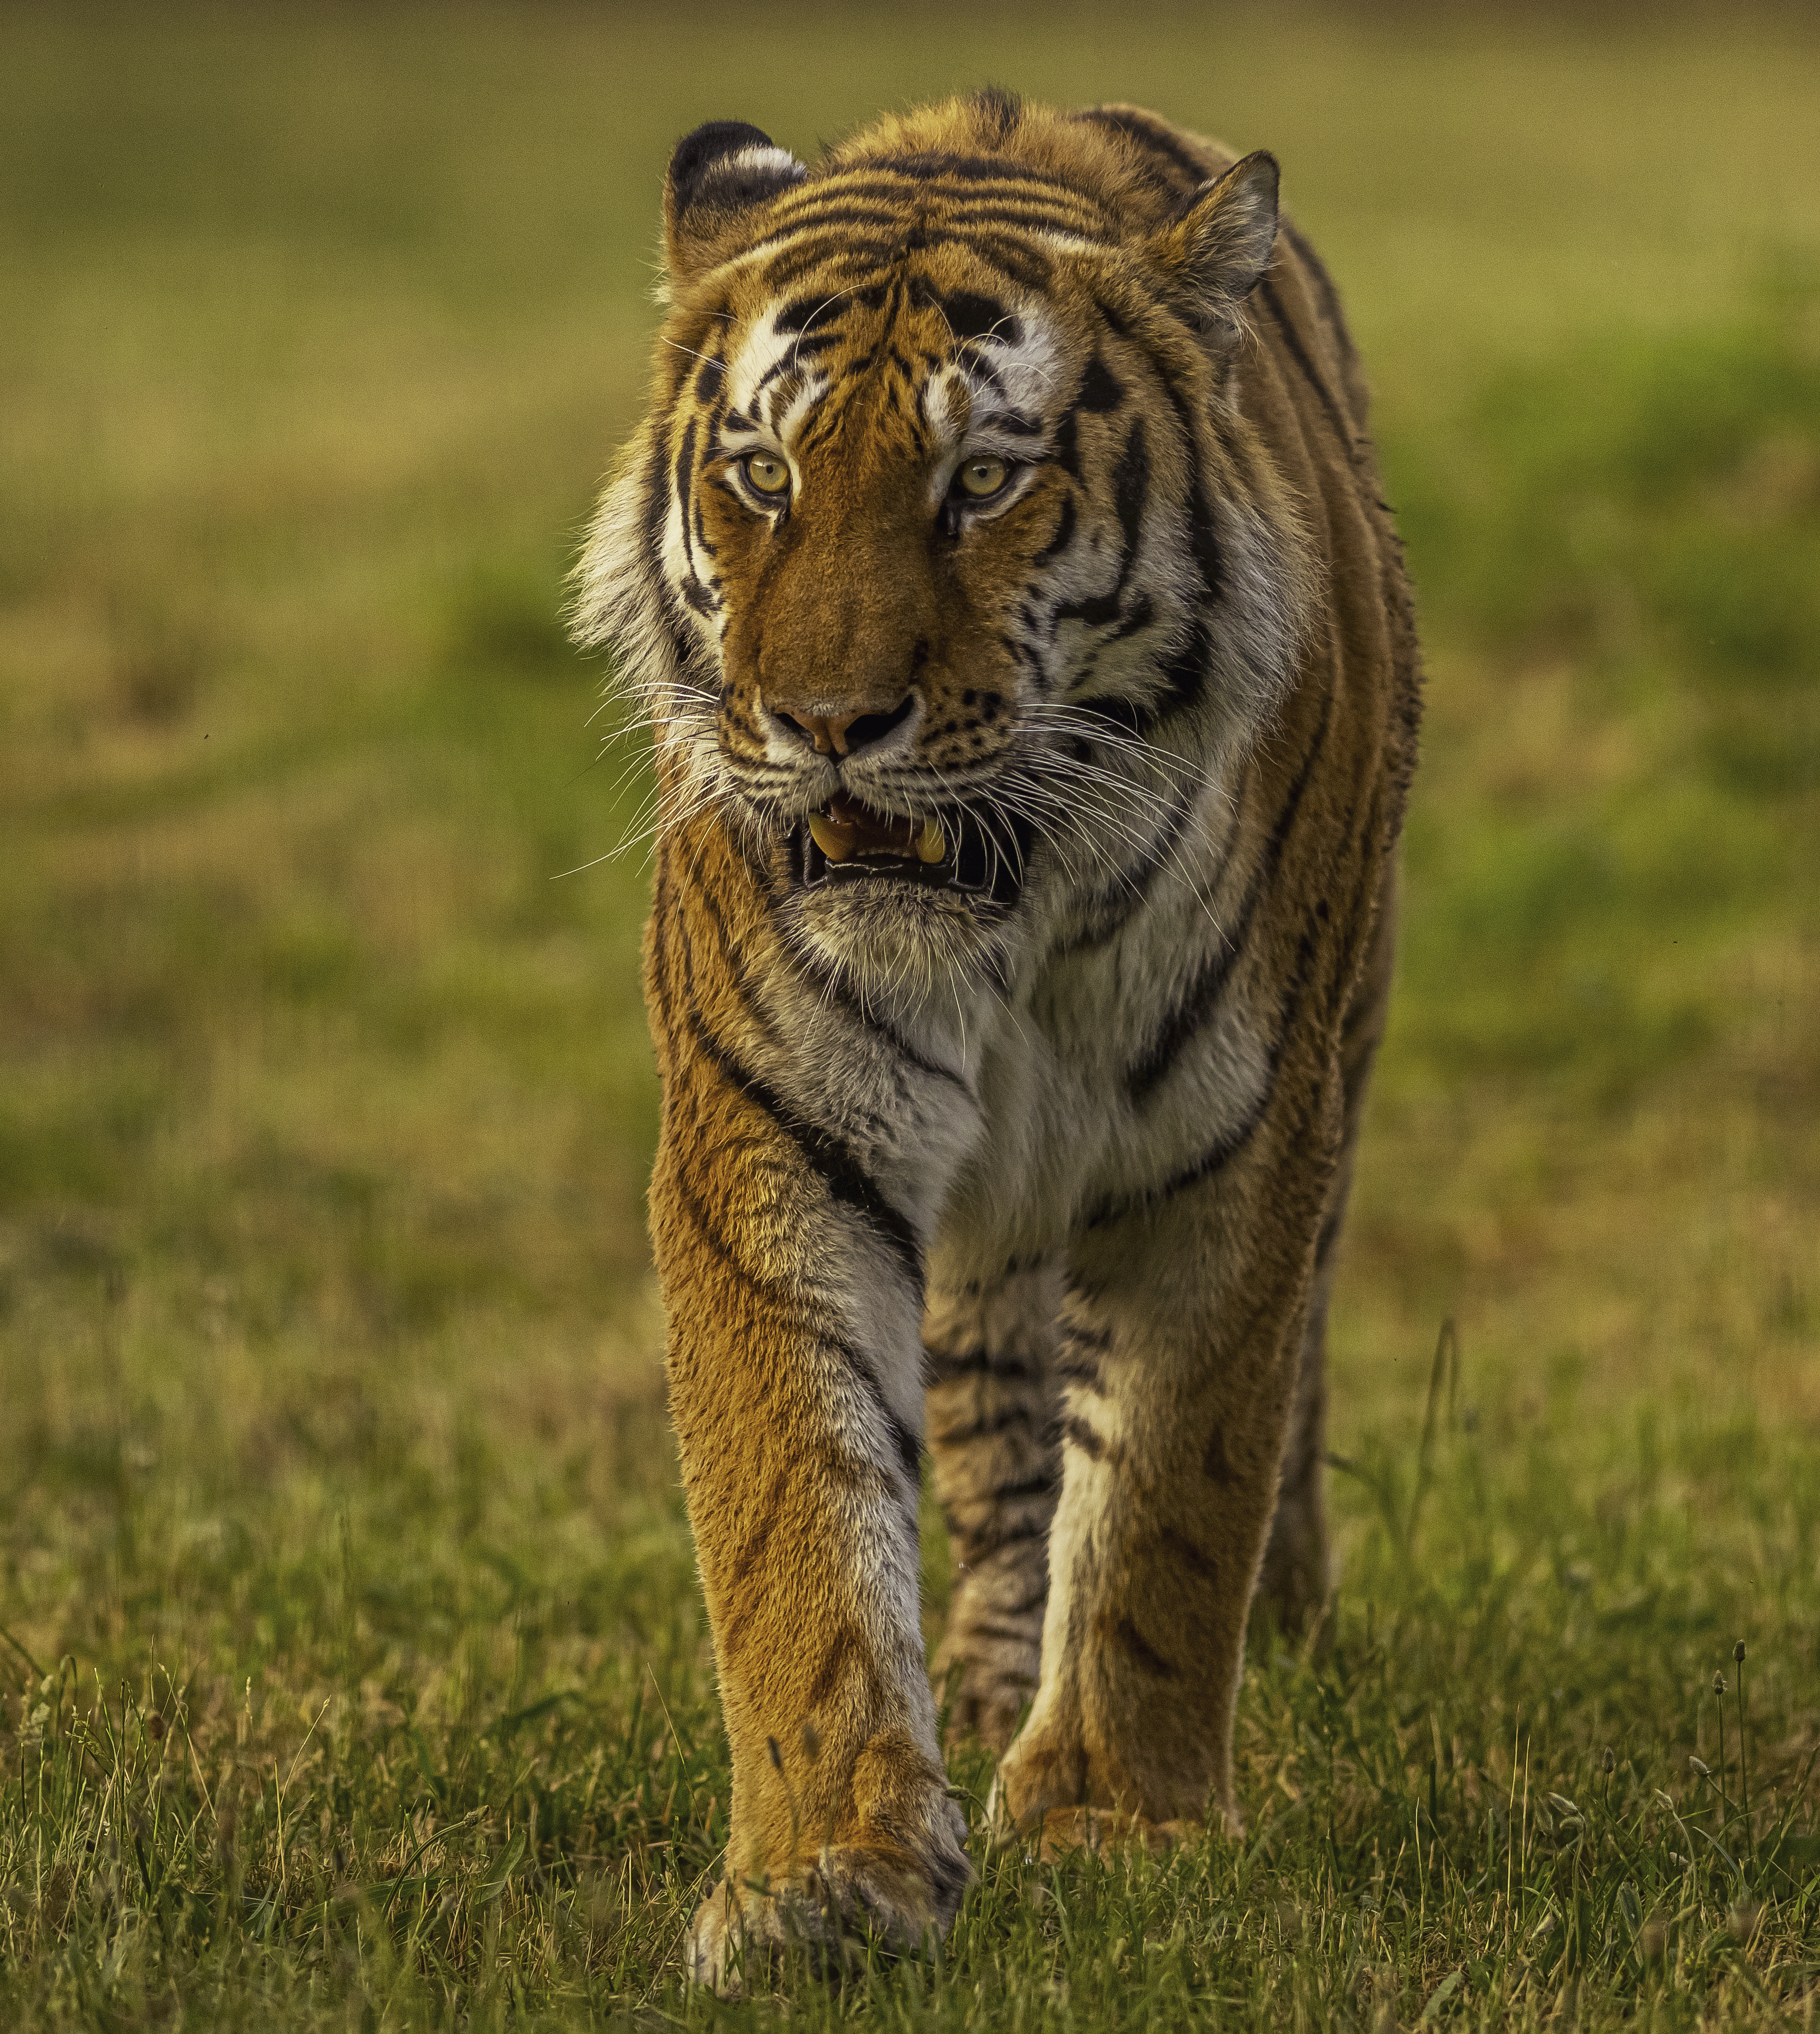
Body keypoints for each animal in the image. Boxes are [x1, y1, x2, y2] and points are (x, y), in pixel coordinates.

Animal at [571, 88, 1420, 1990]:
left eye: (981, 482)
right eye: (765, 478)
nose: (825, 725)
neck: (1012, 922)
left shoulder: (1234, 1144)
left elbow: (1175, 1484)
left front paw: (1116, 1820)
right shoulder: (772, 1130)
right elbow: (797, 1516)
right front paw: (824, 1874)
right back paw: (978, 1671)